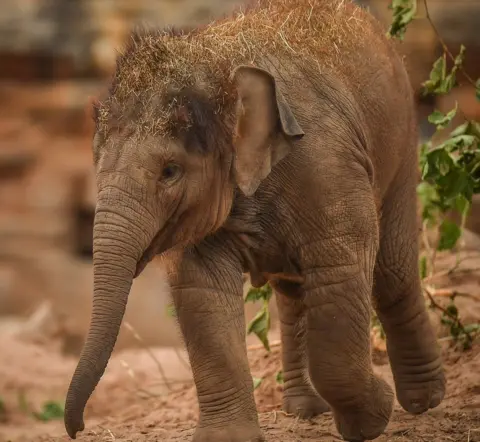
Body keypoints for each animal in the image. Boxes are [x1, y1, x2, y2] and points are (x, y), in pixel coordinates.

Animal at [63, 0, 446, 440]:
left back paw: (424, 400)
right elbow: (202, 290)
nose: (78, 428)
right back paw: (305, 410)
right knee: (294, 291)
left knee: (391, 271)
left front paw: (373, 416)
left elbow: (341, 267)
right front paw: (227, 437)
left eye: (170, 171)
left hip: (401, 135)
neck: (219, 67)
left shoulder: (327, 166)